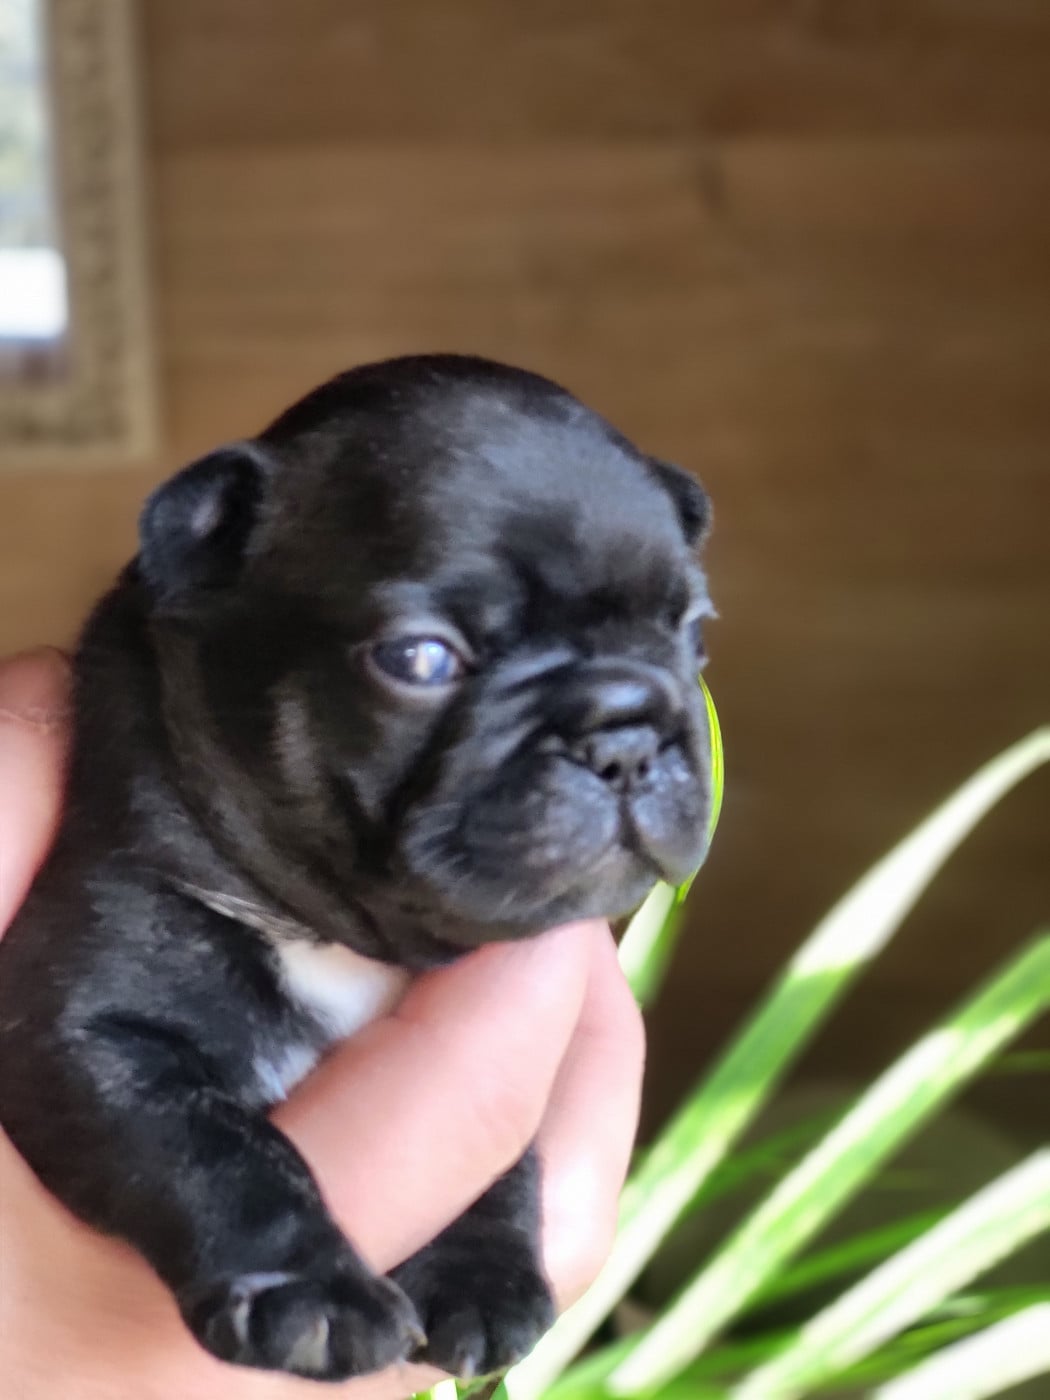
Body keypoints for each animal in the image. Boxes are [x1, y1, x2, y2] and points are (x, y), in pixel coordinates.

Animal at [0, 355, 713, 1381]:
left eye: (694, 633)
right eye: (418, 659)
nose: (624, 733)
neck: (346, 939)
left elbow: (505, 1152)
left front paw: (479, 1274)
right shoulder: (90, 1036)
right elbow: (217, 1150)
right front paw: (309, 1293)